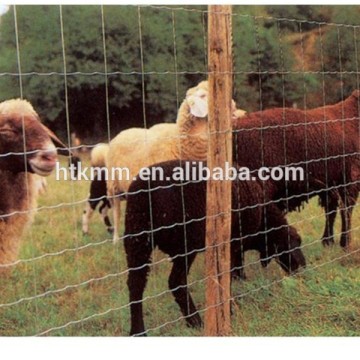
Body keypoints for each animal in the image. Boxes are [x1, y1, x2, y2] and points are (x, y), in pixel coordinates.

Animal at [123, 160, 304, 334]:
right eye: (293, 244)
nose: (303, 268)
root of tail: (145, 192)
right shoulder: (232, 243)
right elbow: (227, 275)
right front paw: (228, 310)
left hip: (137, 239)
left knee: (135, 284)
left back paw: (138, 331)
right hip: (184, 244)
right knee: (176, 282)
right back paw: (195, 321)